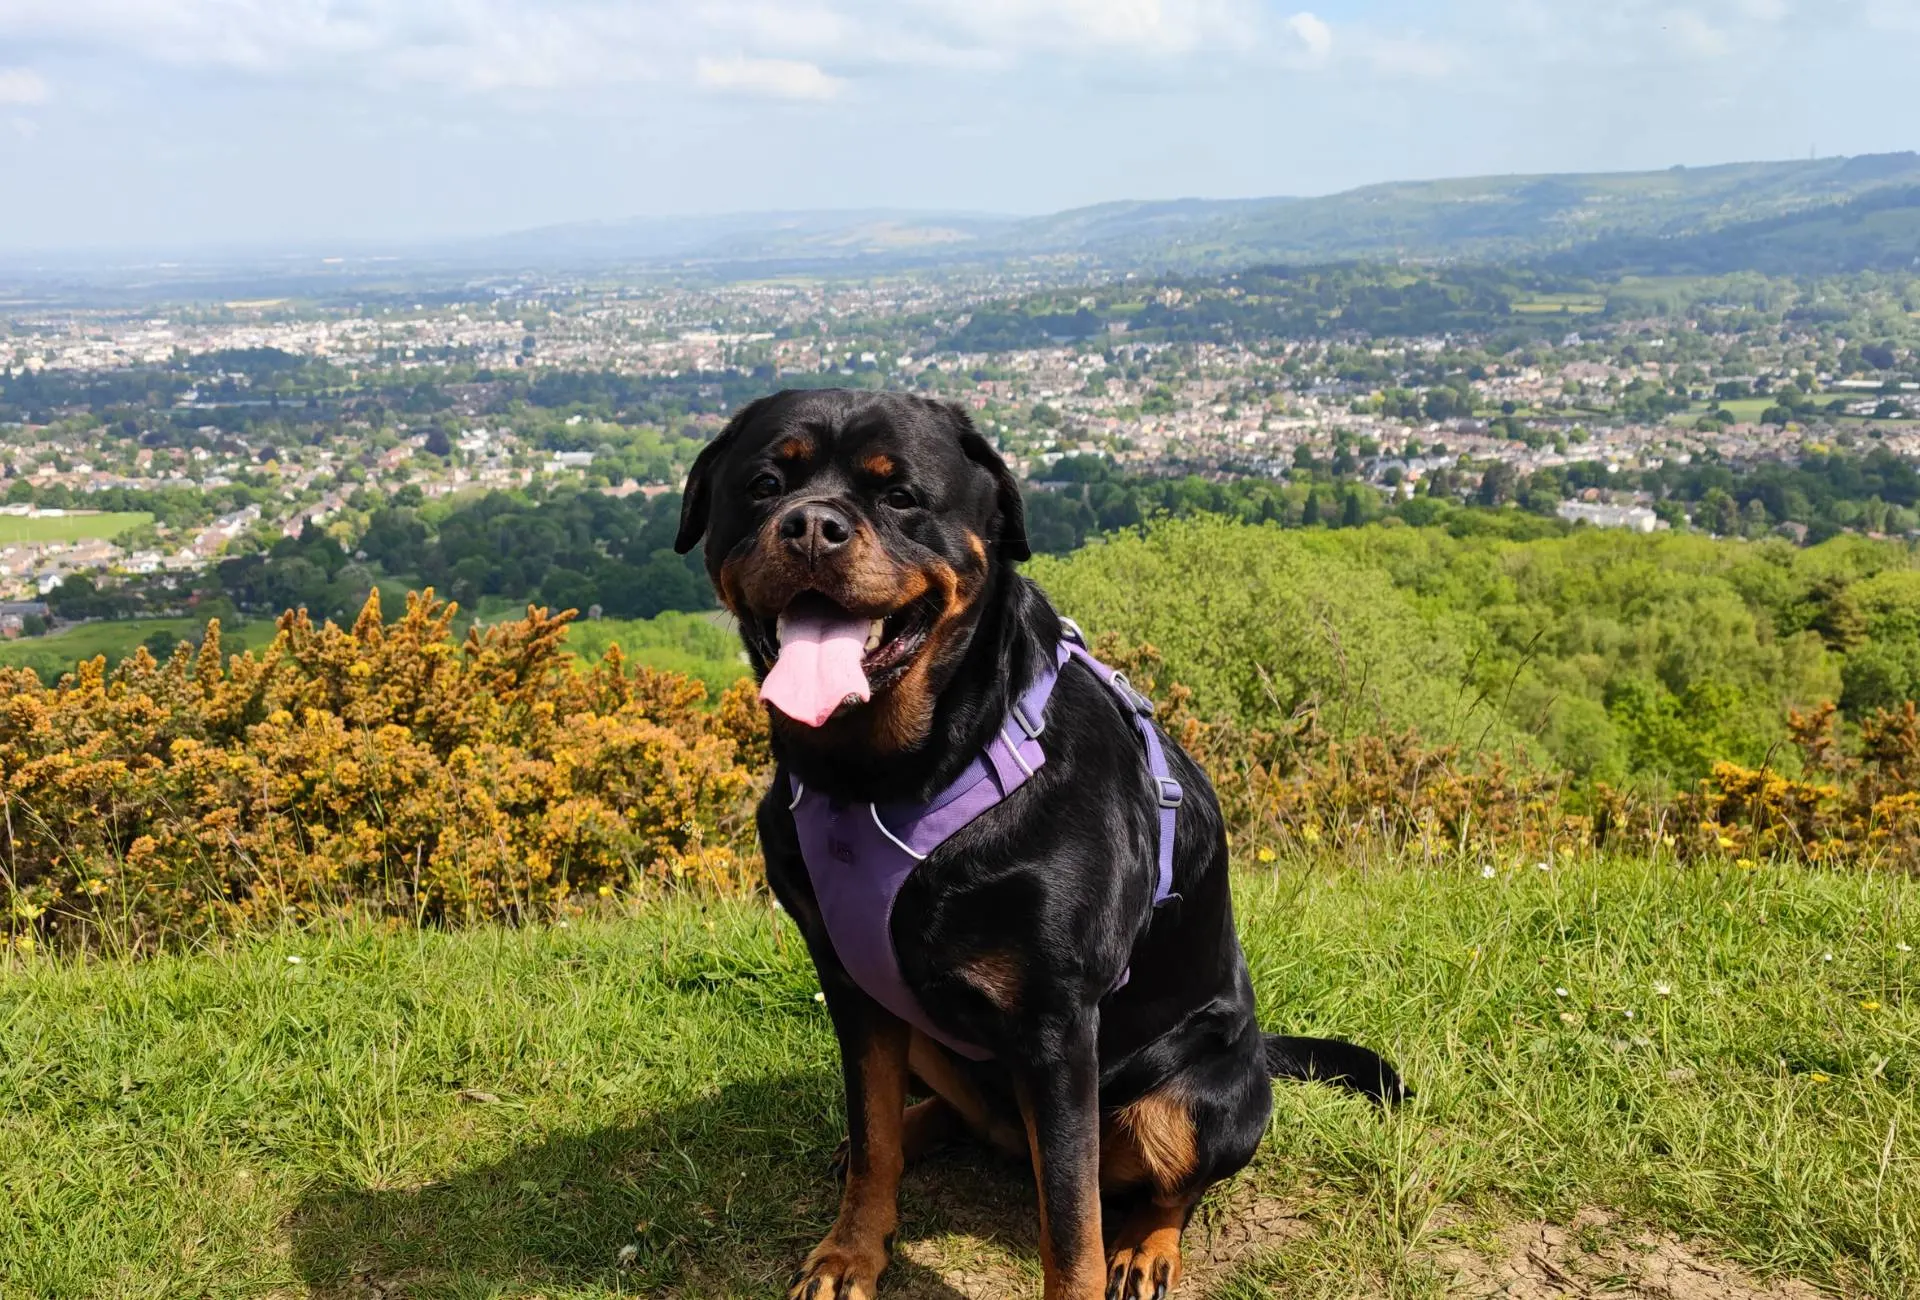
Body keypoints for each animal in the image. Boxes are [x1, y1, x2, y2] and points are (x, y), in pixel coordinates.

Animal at [683, 387, 1405, 1298]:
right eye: (765, 484)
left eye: (902, 495)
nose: (813, 526)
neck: (887, 777)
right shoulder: (852, 985)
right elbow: (873, 1127)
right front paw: (851, 1250)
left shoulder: (1056, 1024)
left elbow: (1070, 1218)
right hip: (926, 1028)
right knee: (951, 1120)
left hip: (1205, 1095)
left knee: (1170, 1183)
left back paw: (1148, 1247)